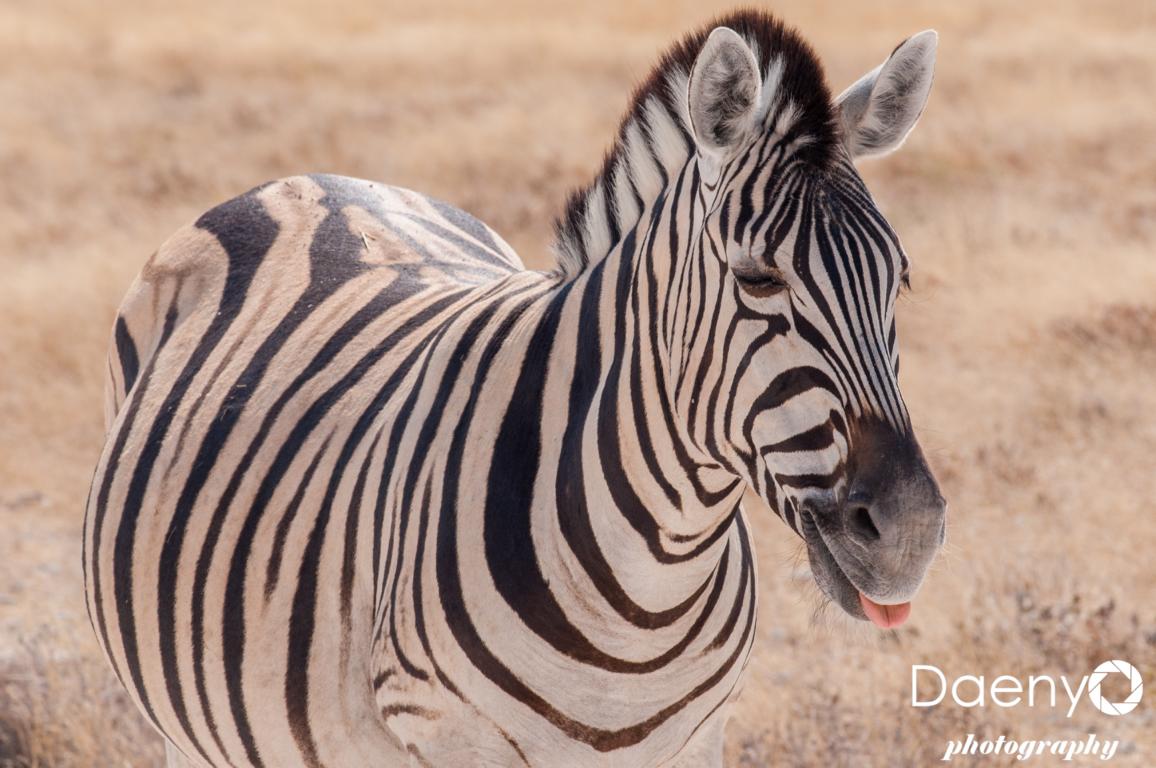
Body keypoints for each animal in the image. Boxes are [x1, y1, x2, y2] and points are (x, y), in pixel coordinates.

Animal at [84, 9, 946, 768]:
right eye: (757, 278)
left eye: (899, 280)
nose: (907, 533)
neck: (645, 596)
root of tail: (311, 180)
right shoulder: (448, 735)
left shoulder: (698, 738)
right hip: (189, 732)